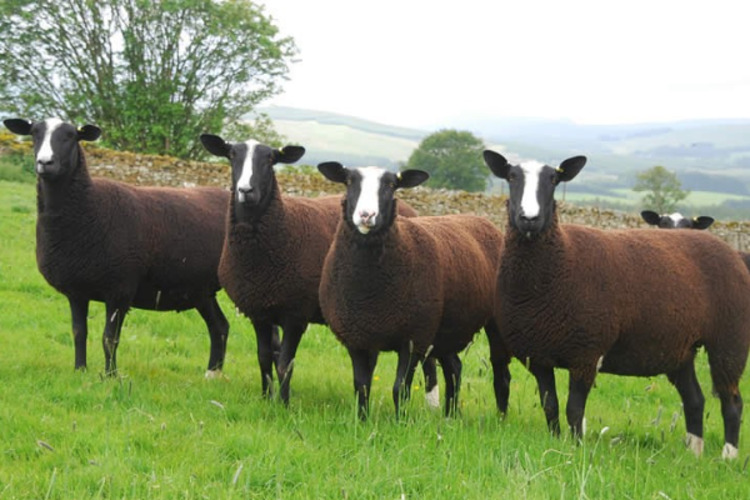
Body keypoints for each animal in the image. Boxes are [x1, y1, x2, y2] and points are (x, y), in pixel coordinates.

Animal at [3, 117, 232, 376]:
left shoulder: (120, 289)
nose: (45, 162)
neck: (90, 206)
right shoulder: (76, 291)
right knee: (220, 326)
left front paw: (110, 376)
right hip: (200, 288)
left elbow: (109, 338)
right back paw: (212, 374)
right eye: (34, 133)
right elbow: (79, 332)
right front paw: (80, 370)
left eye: (71, 136)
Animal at [198, 137, 440, 406]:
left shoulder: (296, 313)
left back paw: (433, 403)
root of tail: (411, 209)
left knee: (428, 357)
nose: (245, 191)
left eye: (270, 159)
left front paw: (282, 404)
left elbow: (285, 364)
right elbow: (263, 358)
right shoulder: (258, 311)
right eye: (231, 155)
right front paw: (265, 398)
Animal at [318, 163, 512, 418]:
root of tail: (485, 222)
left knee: (501, 374)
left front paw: (400, 421)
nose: (366, 215)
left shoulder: (413, 338)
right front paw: (361, 420)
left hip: (490, 322)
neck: (369, 292)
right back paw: (450, 416)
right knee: (454, 368)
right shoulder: (357, 336)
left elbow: (400, 389)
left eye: (391, 185)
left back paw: (500, 419)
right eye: (349, 181)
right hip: (442, 329)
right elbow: (361, 386)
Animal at [484, 150, 750, 458]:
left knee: (732, 402)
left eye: (553, 179)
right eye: (511, 177)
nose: (529, 218)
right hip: (681, 347)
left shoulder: (586, 352)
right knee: (695, 399)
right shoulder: (538, 354)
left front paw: (575, 449)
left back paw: (727, 457)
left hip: (730, 339)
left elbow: (574, 410)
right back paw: (693, 454)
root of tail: (730, 251)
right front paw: (555, 442)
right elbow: (550, 407)